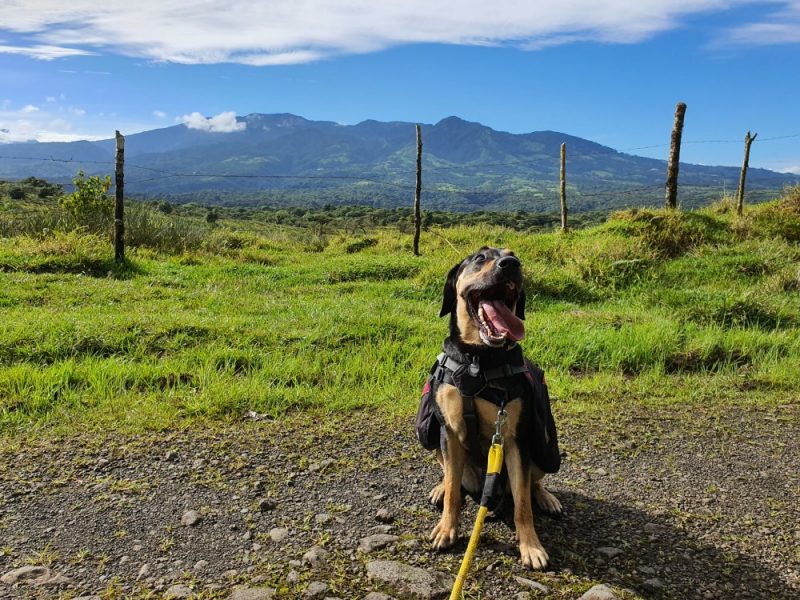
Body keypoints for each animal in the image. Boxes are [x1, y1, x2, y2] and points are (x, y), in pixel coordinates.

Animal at [422, 246, 560, 568]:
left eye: (513, 255)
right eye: (479, 258)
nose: (511, 264)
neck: (478, 360)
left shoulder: (514, 439)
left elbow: (522, 504)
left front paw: (531, 545)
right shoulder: (449, 432)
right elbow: (453, 493)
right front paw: (447, 528)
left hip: (537, 452)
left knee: (532, 483)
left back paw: (546, 497)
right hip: (439, 444)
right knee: (452, 478)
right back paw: (439, 487)